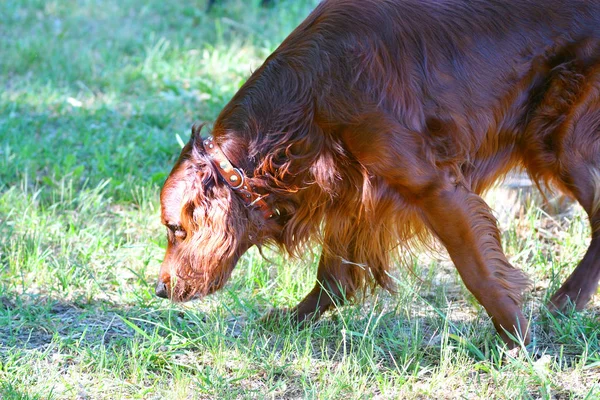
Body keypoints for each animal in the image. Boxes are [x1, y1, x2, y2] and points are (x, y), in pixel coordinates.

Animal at [157, 0, 600, 348]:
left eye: (175, 229)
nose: (159, 289)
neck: (315, 87)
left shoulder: (434, 188)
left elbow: (479, 273)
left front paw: (517, 340)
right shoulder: (352, 191)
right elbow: (332, 276)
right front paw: (293, 320)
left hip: (558, 142)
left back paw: (565, 300)